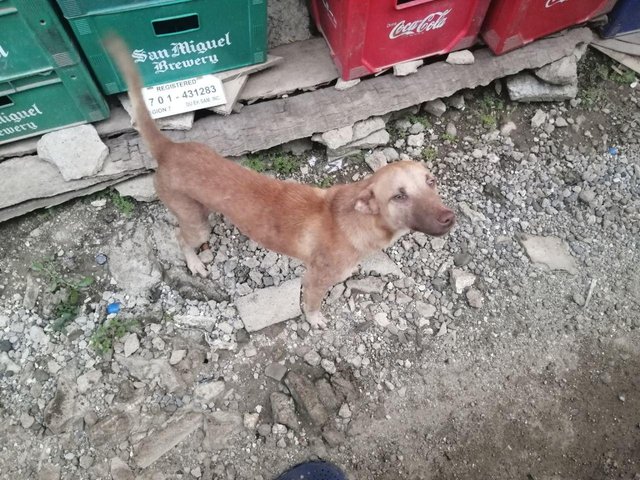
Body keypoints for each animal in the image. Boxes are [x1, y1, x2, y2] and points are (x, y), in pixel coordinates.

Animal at [105, 37, 456, 330]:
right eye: (399, 196)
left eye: (431, 181)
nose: (449, 218)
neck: (357, 222)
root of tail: (168, 148)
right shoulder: (314, 279)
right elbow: (312, 303)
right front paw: (314, 320)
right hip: (194, 222)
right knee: (180, 237)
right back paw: (194, 263)